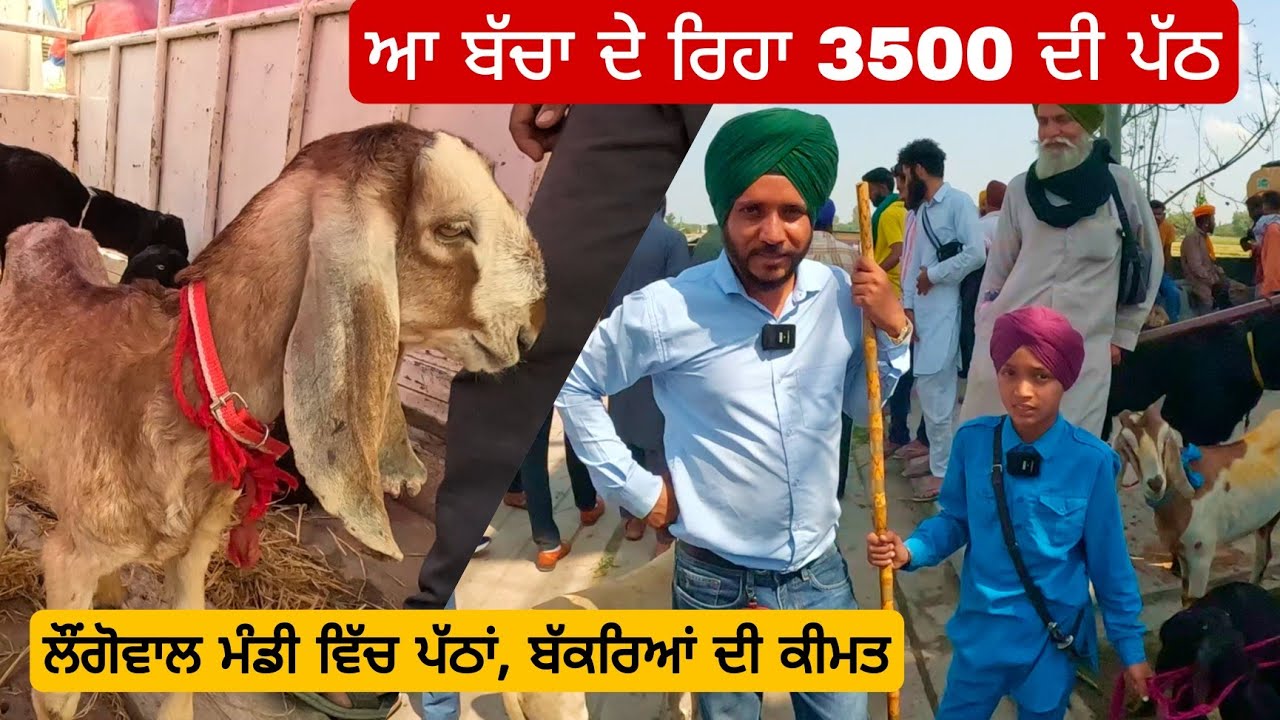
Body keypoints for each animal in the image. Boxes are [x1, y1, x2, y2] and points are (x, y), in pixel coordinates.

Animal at [1113, 401, 1280, 606]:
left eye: (1164, 442)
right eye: (1129, 446)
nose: (1156, 483)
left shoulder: (1201, 554)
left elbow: (1194, 599)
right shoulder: (1183, 553)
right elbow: (1185, 597)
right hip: (1267, 518)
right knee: (1263, 558)